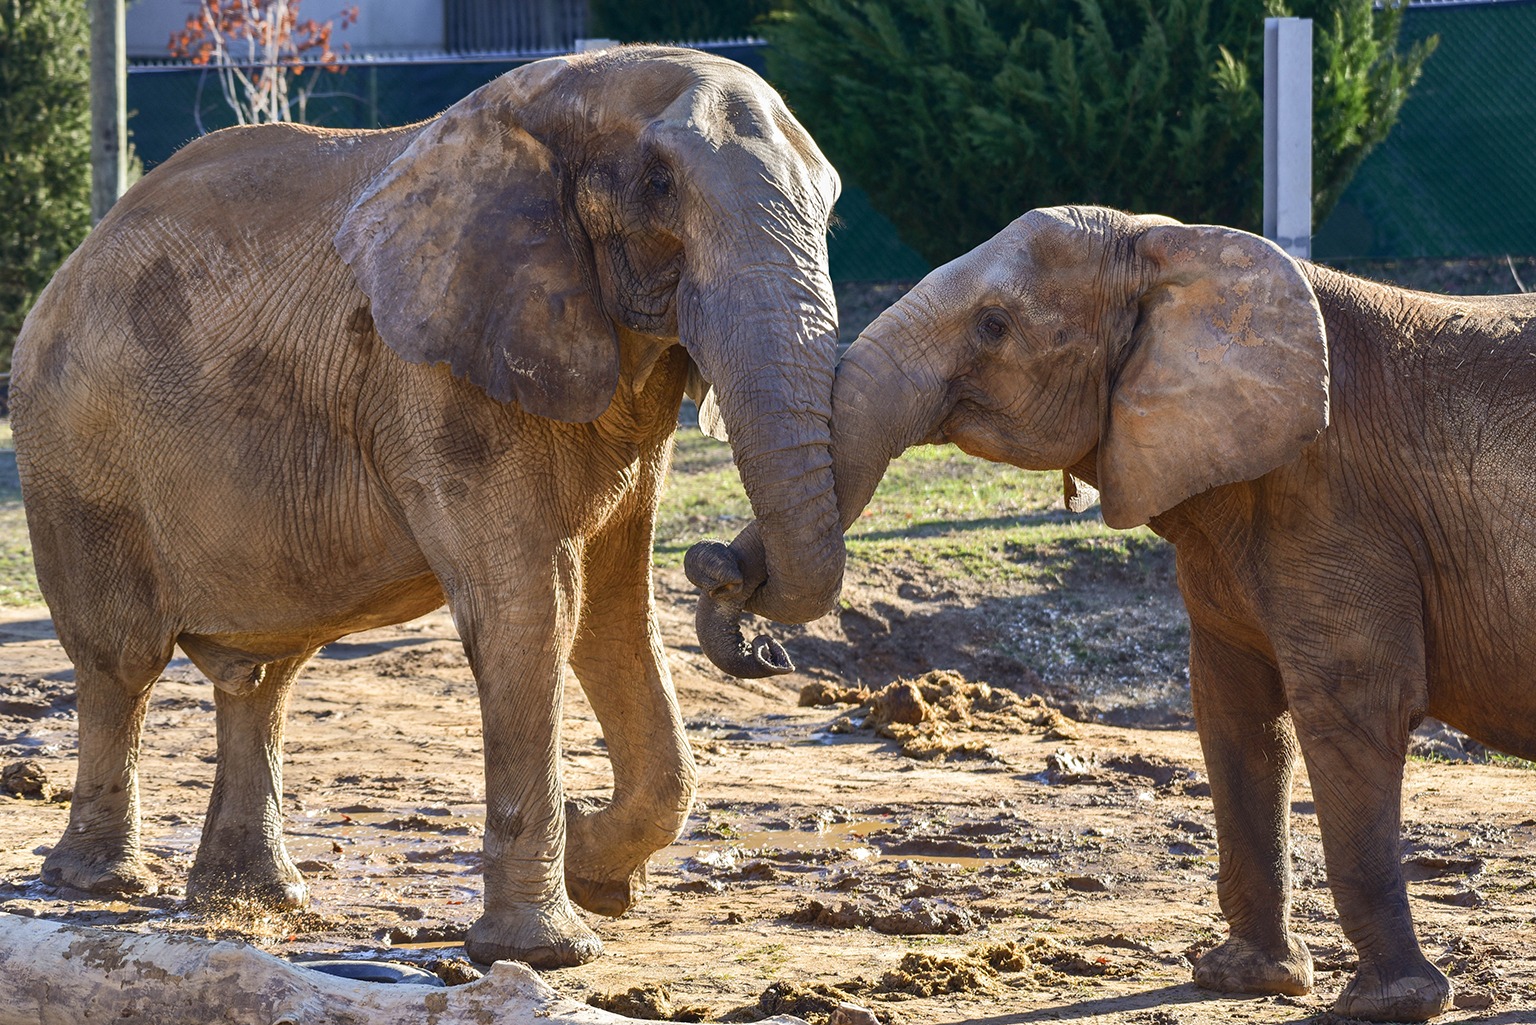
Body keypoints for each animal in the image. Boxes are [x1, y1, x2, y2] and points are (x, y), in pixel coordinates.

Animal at [12, 44, 847, 971]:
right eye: (660, 186)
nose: (750, 620)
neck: (567, 95)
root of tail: (68, 267)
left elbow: (614, 603)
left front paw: (594, 873)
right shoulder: (438, 372)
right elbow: (534, 608)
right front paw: (548, 949)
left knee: (263, 676)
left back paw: (256, 899)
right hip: (76, 453)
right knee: (120, 659)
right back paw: (101, 886)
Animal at [691, 204, 1536, 1020]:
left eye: (994, 325)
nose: (716, 569)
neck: (1178, 246)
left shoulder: (1339, 506)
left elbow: (1347, 707)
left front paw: (1385, 1005)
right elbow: (1234, 710)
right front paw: (1239, 978)